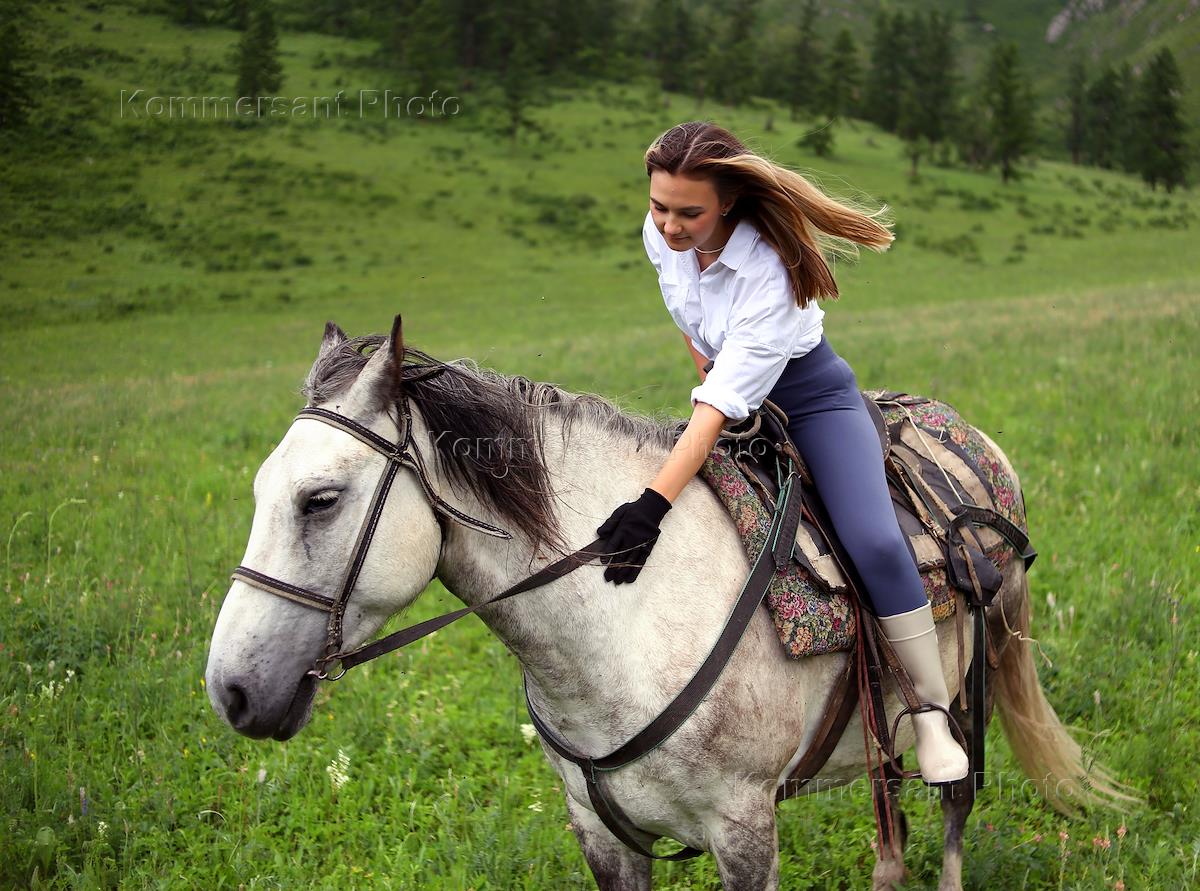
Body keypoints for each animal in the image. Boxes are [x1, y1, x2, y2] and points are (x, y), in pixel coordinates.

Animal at [206, 321, 1132, 891]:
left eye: (321, 499)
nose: (231, 690)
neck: (621, 622)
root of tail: (979, 444)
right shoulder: (602, 834)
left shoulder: (744, 829)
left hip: (967, 697)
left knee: (950, 812)